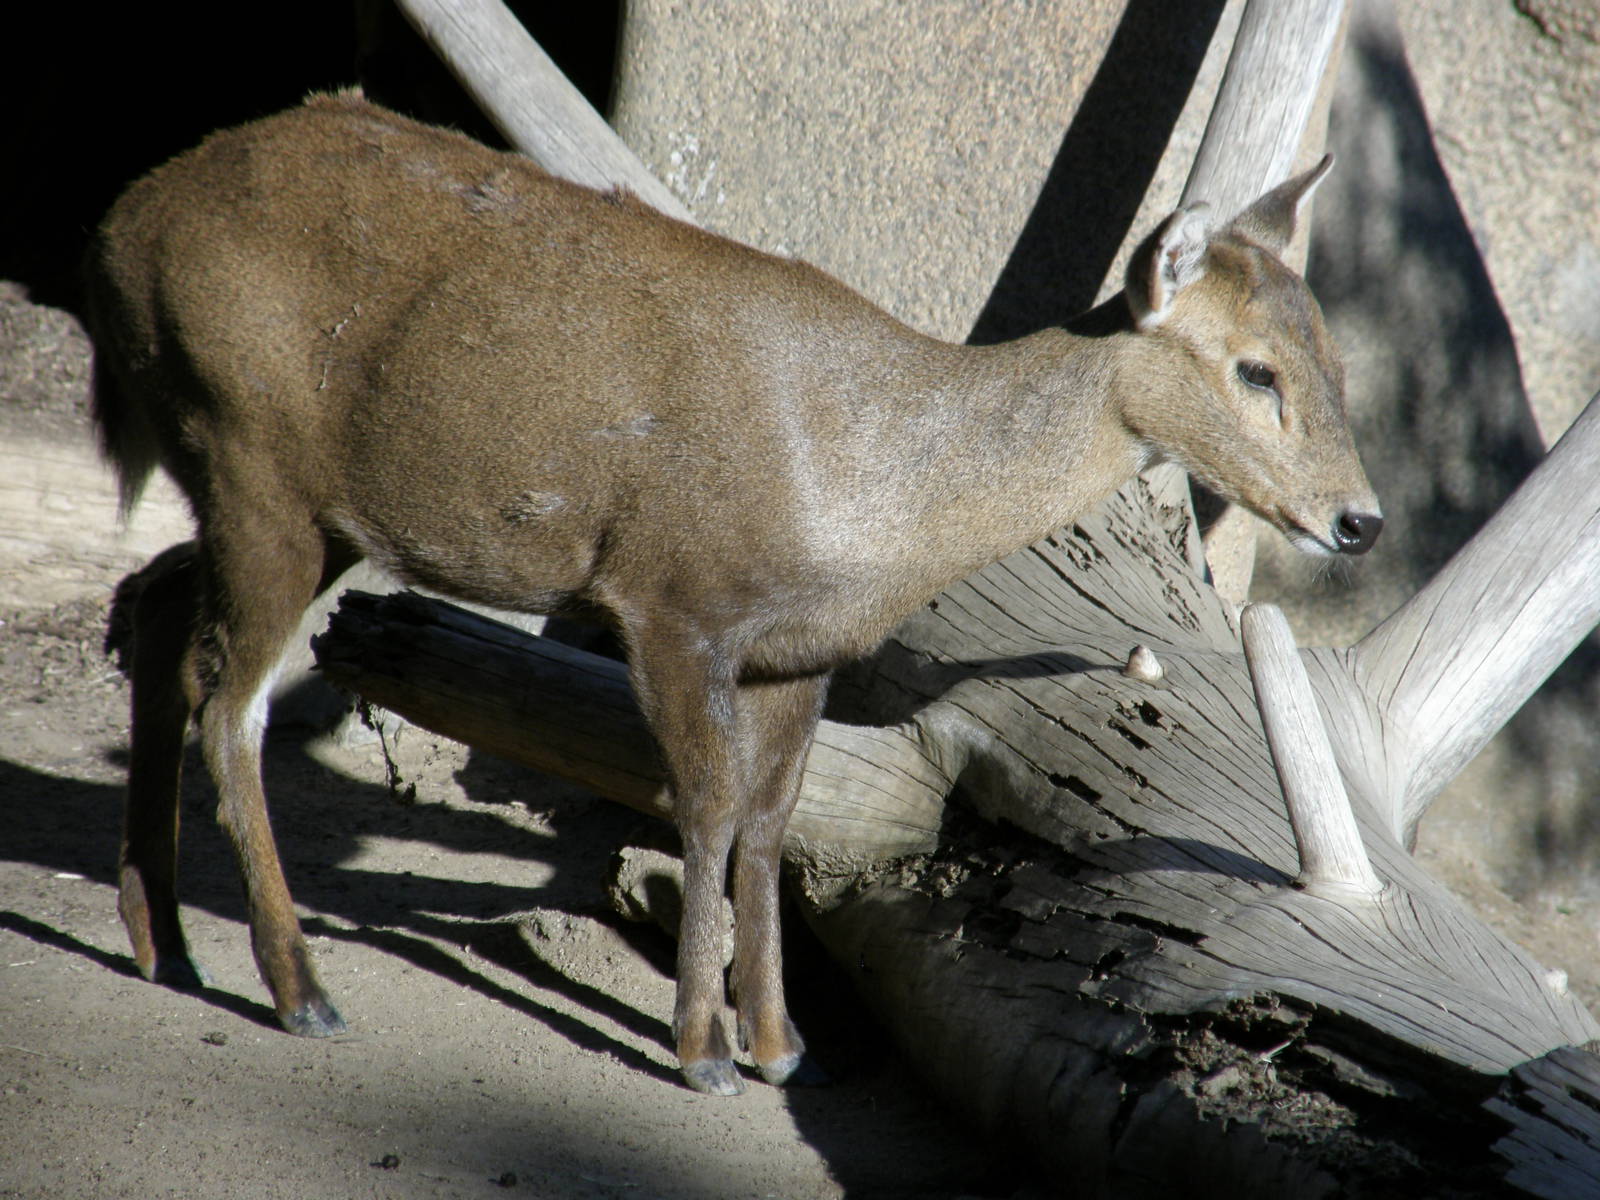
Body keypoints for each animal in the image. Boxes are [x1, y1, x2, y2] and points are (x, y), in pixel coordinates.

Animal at [83, 92, 1380, 1097]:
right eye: (1254, 370)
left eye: (1335, 358)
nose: (1360, 519)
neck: (873, 497)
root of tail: (120, 226)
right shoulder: (670, 599)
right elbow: (701, 807)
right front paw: (701, 1048)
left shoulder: (798, 650)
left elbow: (770, 821)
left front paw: (777, 1040)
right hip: (254, 455)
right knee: (230, 700)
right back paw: (296, 987)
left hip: (297, 501)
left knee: (153, 604)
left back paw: (162, 943)